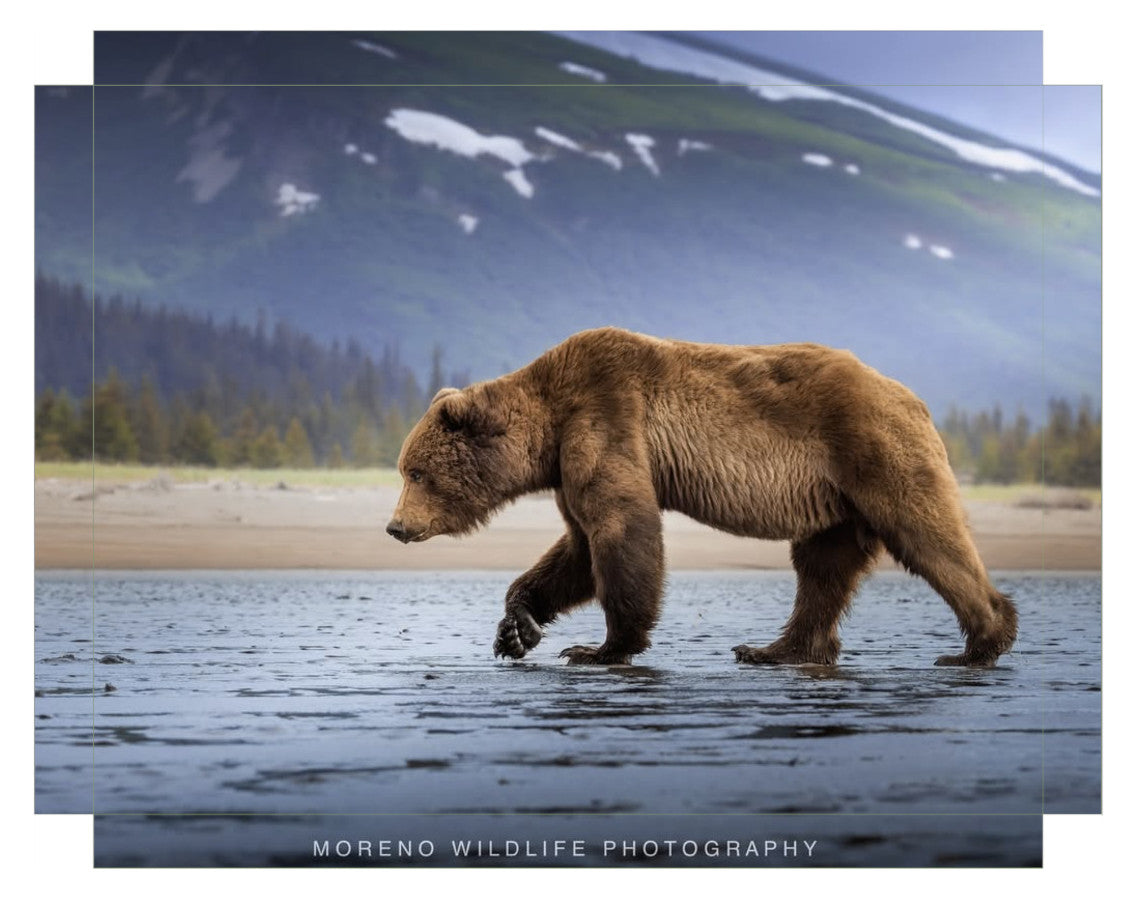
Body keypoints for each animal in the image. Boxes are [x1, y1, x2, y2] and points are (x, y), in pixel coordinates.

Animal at [386, 327, 1017, 668]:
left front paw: (601, 647)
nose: (394, 527)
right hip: (836, 499)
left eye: (415, 472)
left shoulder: (605, 416)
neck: (548, 423)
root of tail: (913, 397)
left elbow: (620, 530)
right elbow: (577, 548)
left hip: (873, 452)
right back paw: (775, 649)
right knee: (822, 568)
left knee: (926, 534)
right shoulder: (569, 463)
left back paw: (980, 642)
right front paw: (517, 629)